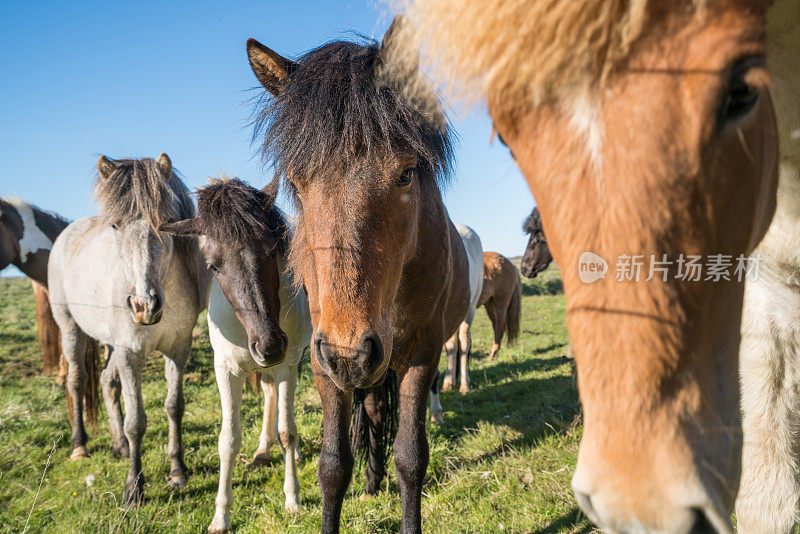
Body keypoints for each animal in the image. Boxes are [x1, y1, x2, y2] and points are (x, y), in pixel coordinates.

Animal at [48, 155, 208, 506]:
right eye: (116, 226)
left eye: (166, 222)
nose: (143, 305)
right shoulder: (131, 352)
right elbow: (137, 421)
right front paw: (134, 489)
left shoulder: (178, 349)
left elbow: (174, 407)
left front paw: (178, 472)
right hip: (71, 328)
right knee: (77, 380)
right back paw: (79, 446)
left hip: (112, 346)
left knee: (107, 383)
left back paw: (119, 445)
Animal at [248, 14, 468, 532]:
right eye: (296, 183)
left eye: (407, 173)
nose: (351, 352)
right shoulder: (322, 357)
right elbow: (333, 465)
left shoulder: (422, 351)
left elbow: (411, 458)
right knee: (369, 406)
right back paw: (370, 482)